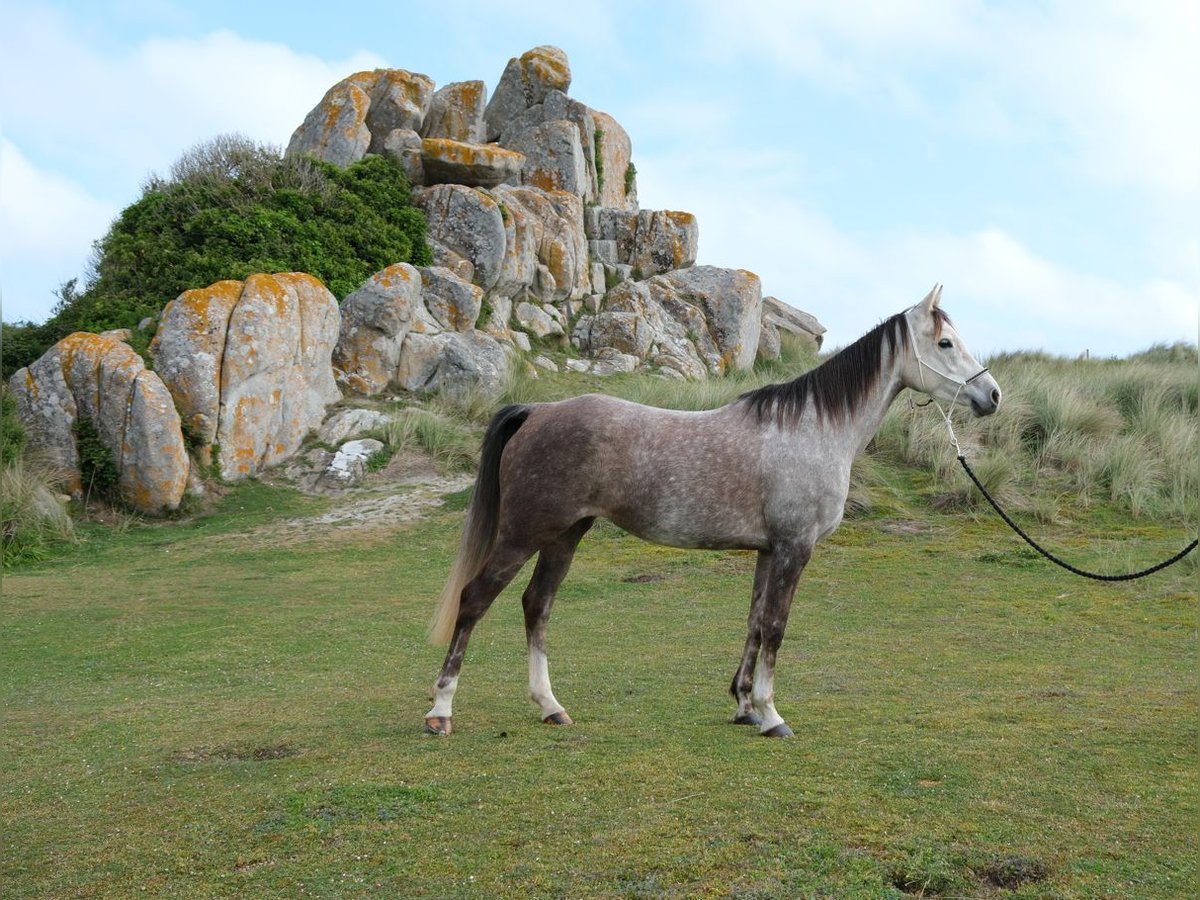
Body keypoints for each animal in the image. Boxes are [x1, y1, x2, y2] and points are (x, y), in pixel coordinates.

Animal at [427, 286, 998, 739]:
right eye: (945, 343)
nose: (991, 395)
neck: (813, 428)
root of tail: (537, 411)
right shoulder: (794, 548)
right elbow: (776, 627)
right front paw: (771, 715)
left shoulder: (768, 550)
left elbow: (754, 624)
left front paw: (745, 707)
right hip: (524, 533)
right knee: (475, 600)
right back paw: (441, 711)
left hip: (566, 535)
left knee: (537, 605)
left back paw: (550, 707)